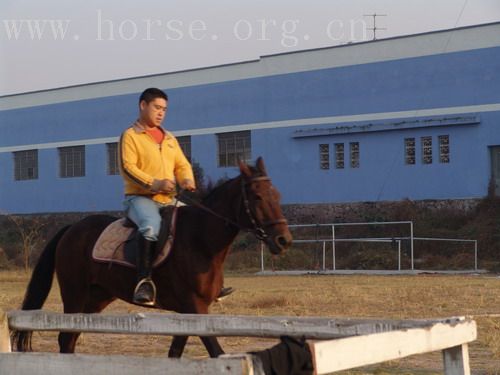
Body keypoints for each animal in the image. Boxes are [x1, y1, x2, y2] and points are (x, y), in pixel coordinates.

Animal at [10, 157, 292, 356]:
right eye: (257, 197)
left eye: (277, 195)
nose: (284, 240)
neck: (201, 240)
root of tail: (72, 228)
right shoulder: (194, 307)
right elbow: (216, 351)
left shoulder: (188, 313)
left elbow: (175, 353)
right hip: (75, 294)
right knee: (66, 337)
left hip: (97, 297)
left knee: (70, 338)